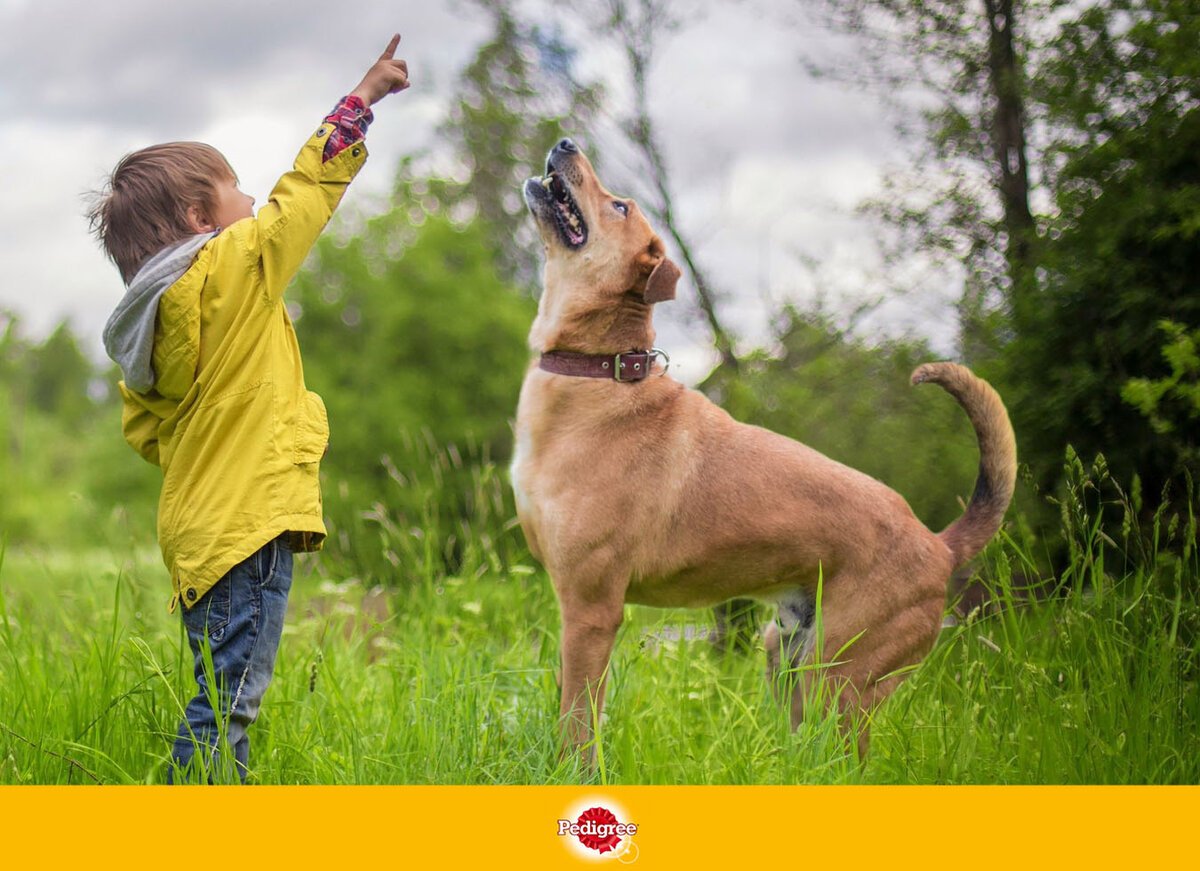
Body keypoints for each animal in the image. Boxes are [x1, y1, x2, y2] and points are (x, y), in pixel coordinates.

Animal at [511, 136, 1017, 763]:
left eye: (620, 206)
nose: (566, 143)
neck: (598, 369)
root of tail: (940, 545)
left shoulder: (591, 609)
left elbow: (578, 722)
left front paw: (572, 772)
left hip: (840, 677)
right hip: (786, 654)